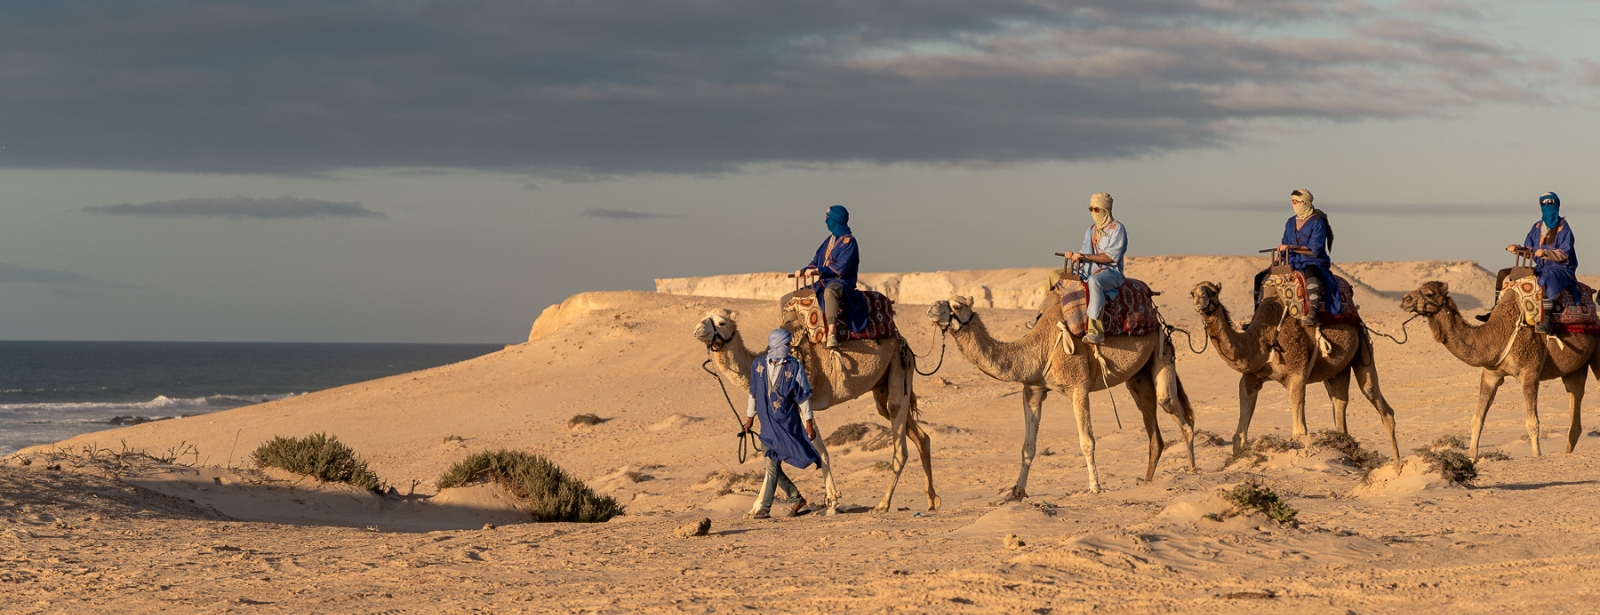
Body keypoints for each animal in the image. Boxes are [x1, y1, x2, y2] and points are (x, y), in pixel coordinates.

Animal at [693, 308, 938, 514]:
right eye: (703, 317)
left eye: (721, 322)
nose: (697, 330)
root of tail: (903, 342)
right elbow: (774, 452)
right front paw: (755, 509)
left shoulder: (801, 401)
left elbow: (817, 450)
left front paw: (832, 501)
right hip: (882, 384)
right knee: (919, 435)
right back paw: (932, 500)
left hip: (899, 365)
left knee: (899, 437)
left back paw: (883, 504)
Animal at [926, 292, 1195, 495]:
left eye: (956, 305)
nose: (930, 308)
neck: (1038, 349)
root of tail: (1158, 319)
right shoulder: (1033, 391)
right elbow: (1028, 447)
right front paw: (1016, 492)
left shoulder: (1078, 387)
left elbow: (1087, 441)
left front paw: (1095, 487)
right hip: (1138, 374)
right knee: (1149, 416)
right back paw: (1147, 481)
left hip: (1161, 349)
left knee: (1173, 409)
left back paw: (1192, 470)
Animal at [1190, 282, 1401, 460]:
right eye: (1192, 292)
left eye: (1213, 292)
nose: (1200, 301)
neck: (1262, 340)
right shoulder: (1250, 378)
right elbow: (1239, 436)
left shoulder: (1297, 372)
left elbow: (1300, 432)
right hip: (1338, 370)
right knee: (1340, 403)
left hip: (1363, 347)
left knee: (1378, 401)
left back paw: (1397, 465)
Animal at [1400, 280, 1599, 458]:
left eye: (1430, 293)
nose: (1405, 299)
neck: (1497, 335)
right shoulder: (1491, 374)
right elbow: (1477, 420)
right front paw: (1471, 457)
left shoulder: (1530, 372)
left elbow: (1532, 423)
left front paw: (1537, 456)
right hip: (1575, 370)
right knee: (1575, 404)